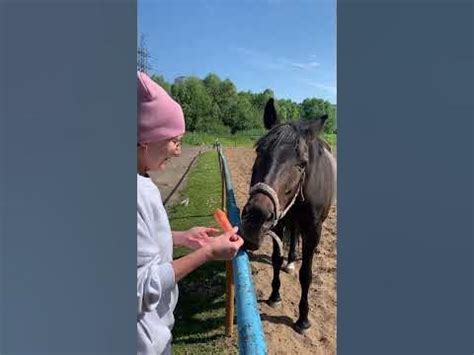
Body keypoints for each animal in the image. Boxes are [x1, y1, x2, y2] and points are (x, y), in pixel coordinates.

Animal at [241, 98, 336, 336]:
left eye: (302, 164)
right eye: (259, 151)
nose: (255, 218)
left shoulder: (313, 231)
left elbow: (306, 275)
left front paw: (303, 319)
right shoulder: (277, 223)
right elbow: (276, 259)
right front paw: (275, 296)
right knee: (293, 237)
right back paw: (291, 260)